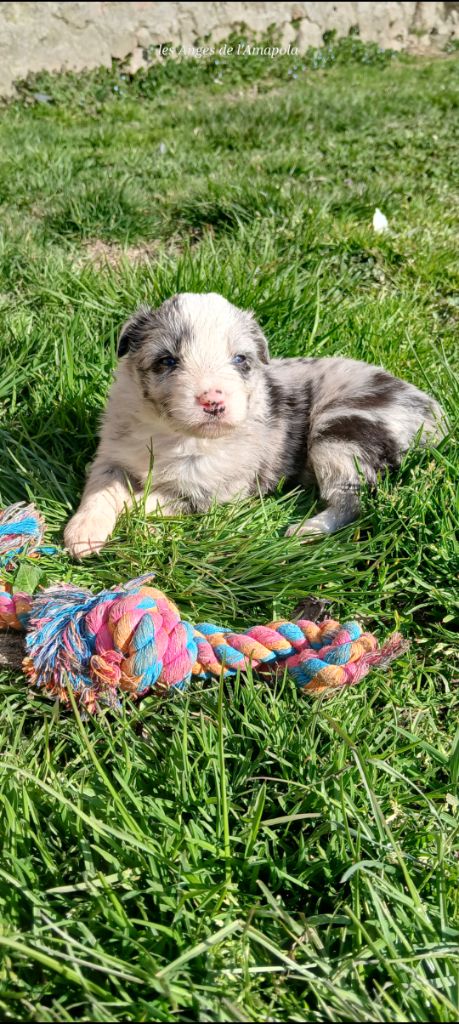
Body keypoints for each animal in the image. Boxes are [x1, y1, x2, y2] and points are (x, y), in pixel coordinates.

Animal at [64, 292, 444, 557]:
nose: (213, 401)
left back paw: (306, 529)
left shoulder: (213, 492)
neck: (174, 434)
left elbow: (141, 500)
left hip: (339, 432)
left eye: (240, 359)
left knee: (352, 499)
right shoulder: (111, 454)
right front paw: (83, 532)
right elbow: (103, 488)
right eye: (167, 360)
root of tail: (433, 412)